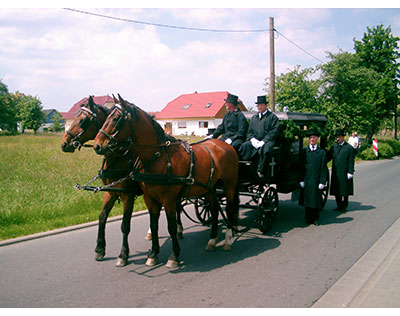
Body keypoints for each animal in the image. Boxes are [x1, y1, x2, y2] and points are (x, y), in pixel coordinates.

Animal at [61, 96, 143, 266]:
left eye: (83, 120)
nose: (64, 143)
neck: (118, 157)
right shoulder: (110, 192)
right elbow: (102, 217)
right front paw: (99, 249)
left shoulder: (128, 194)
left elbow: (125, 225)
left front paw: (123, 254)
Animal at [92, 94, 239, 270]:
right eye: (106, 117)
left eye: (115, 118)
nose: (97, 145)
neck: (158, 156)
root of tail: (225, 145)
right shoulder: (148, 198)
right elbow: (154, 224)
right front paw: (153, 254)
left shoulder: (166, 199)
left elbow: (170, 226)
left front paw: (173, 256)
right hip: (209, 188)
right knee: (215, 208)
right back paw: (212, 240)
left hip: (230, 184)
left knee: (229, 208)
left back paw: (228, 238)